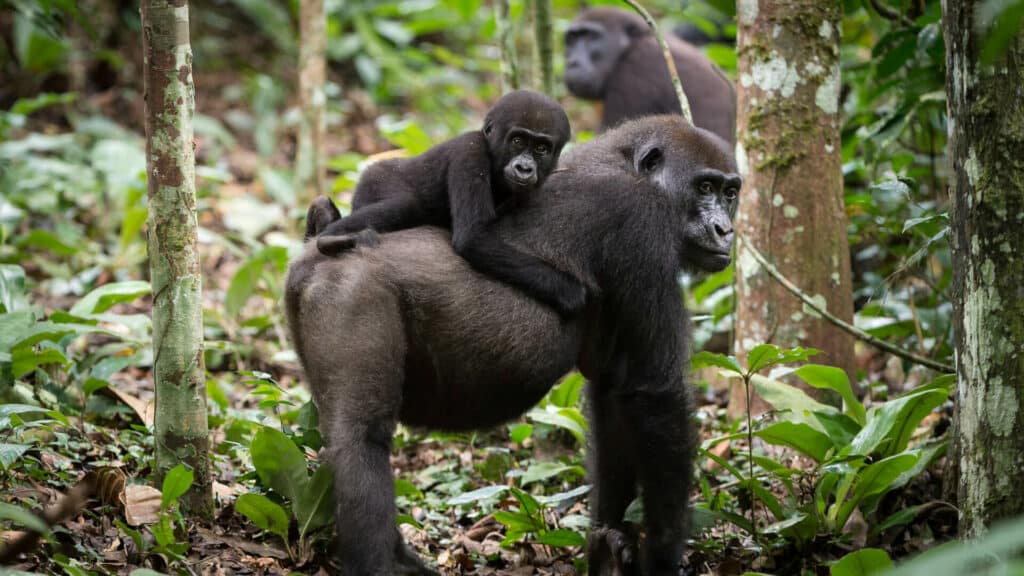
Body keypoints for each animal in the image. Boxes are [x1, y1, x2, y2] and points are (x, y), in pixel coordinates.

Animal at [288, 115, 740, 575]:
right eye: (704, 187)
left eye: (730, 193)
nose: (725, 230)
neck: (625, 161)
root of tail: (312, 255)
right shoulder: (643, 223)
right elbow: (657, 394)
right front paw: (660, 556)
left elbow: (615, 394)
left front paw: (609, 545)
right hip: (352, 291)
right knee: (361, 441)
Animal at [306, 89, 585, 318]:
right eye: (517, 141)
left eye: (541, 148)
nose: (524, 168)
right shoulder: (470, 152)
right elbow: (473, 238)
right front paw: (569, 291)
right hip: (375, 180)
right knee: (405, 205)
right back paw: (330, 237)